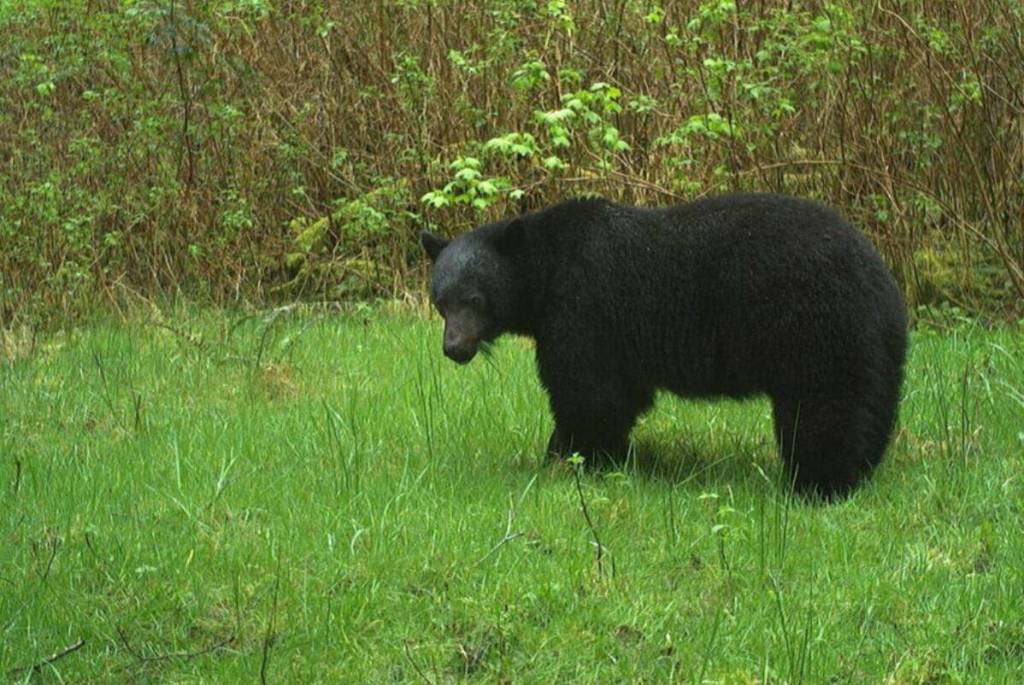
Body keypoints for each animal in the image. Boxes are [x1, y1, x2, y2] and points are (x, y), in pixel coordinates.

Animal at [421, 193, 908, 499]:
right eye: (440, 300)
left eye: (474, 299)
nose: (454, 348)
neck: (546, 269)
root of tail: (882, 280)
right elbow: (622, 396)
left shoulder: (583, 309)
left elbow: (589, 394)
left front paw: (570, 459)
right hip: (869, 347)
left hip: (815, 329)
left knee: (824, 409)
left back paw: (819, 484)